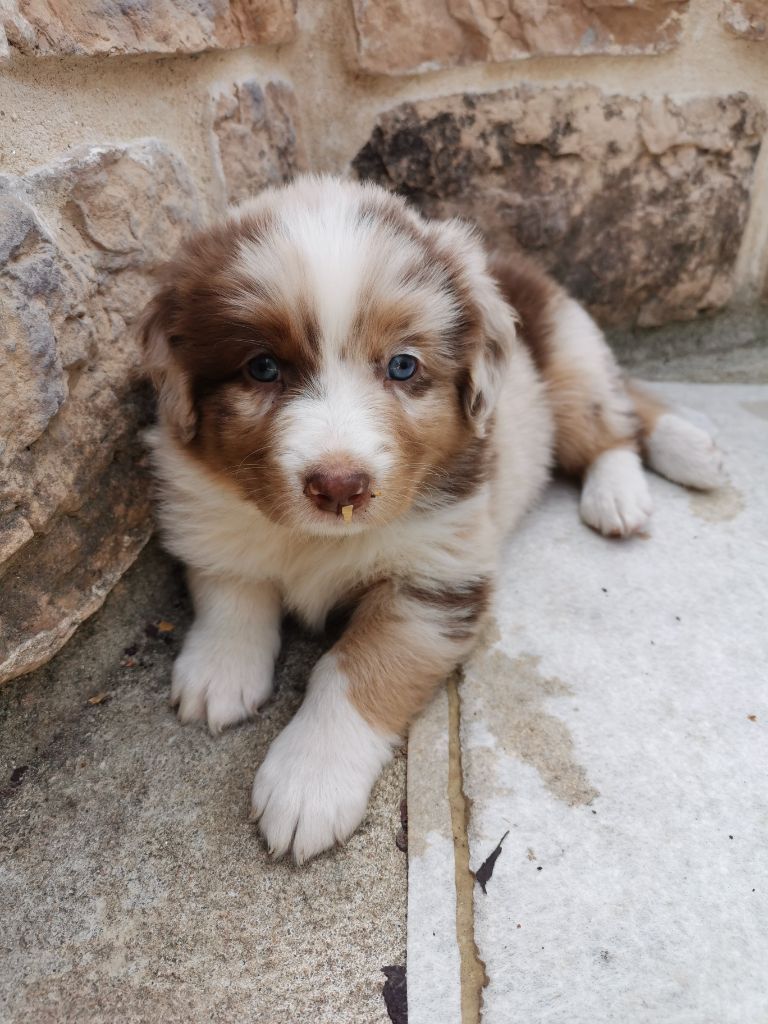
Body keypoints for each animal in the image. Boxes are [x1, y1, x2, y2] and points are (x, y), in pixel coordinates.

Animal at [140, 176, 729, 864]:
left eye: (403, 366)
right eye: (262, 367)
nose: (339, 486)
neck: (317, 542)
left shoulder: (435, 579)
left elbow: (354, 667)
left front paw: (309, 781)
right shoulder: (206, 509)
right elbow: (232, 584)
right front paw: (220, 669)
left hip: (570, 360)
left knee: (614, 420)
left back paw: (638, 481)